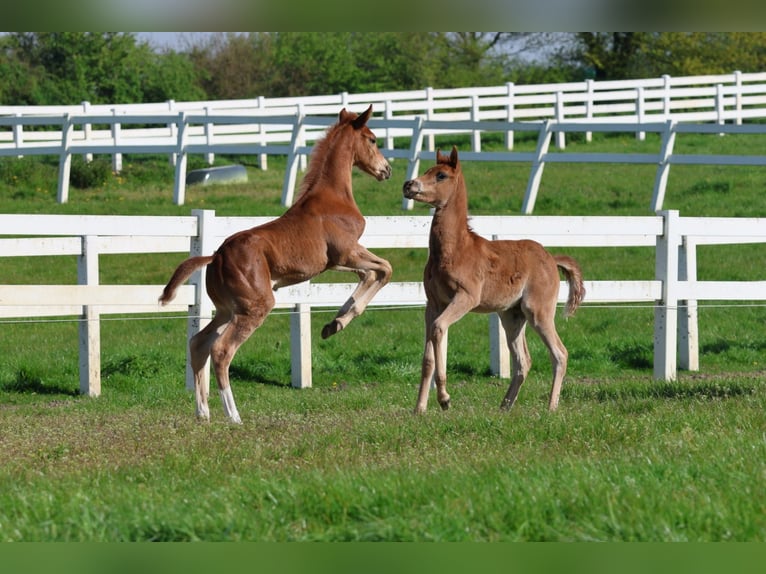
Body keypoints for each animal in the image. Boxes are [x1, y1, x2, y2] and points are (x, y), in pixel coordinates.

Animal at [159, 107, 392, 424]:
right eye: (372, 139)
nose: (386, 170)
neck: (332, 197)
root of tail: (216, 256)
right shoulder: (346, 253)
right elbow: (384, 269)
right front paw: (338, 322)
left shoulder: (335, 263)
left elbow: (370, 274)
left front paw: (334, 323)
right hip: (256, 307)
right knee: (221, 350)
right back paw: (233, 415)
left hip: (228, 309)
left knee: (198, 343)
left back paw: (203, 412)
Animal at [404, 146, 584, 416]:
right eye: (427, 170)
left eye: (441, 175)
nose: (409, 185)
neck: (454, 251)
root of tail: (551, 258)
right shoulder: (433, 303)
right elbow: (429, 356)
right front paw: (419, 409)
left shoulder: (466, 298)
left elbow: (438, 328)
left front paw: (445, 399)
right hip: (511, 316)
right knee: (523, 360)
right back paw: (504, 406)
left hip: (538, 312)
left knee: (559, 353)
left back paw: (551, 407)